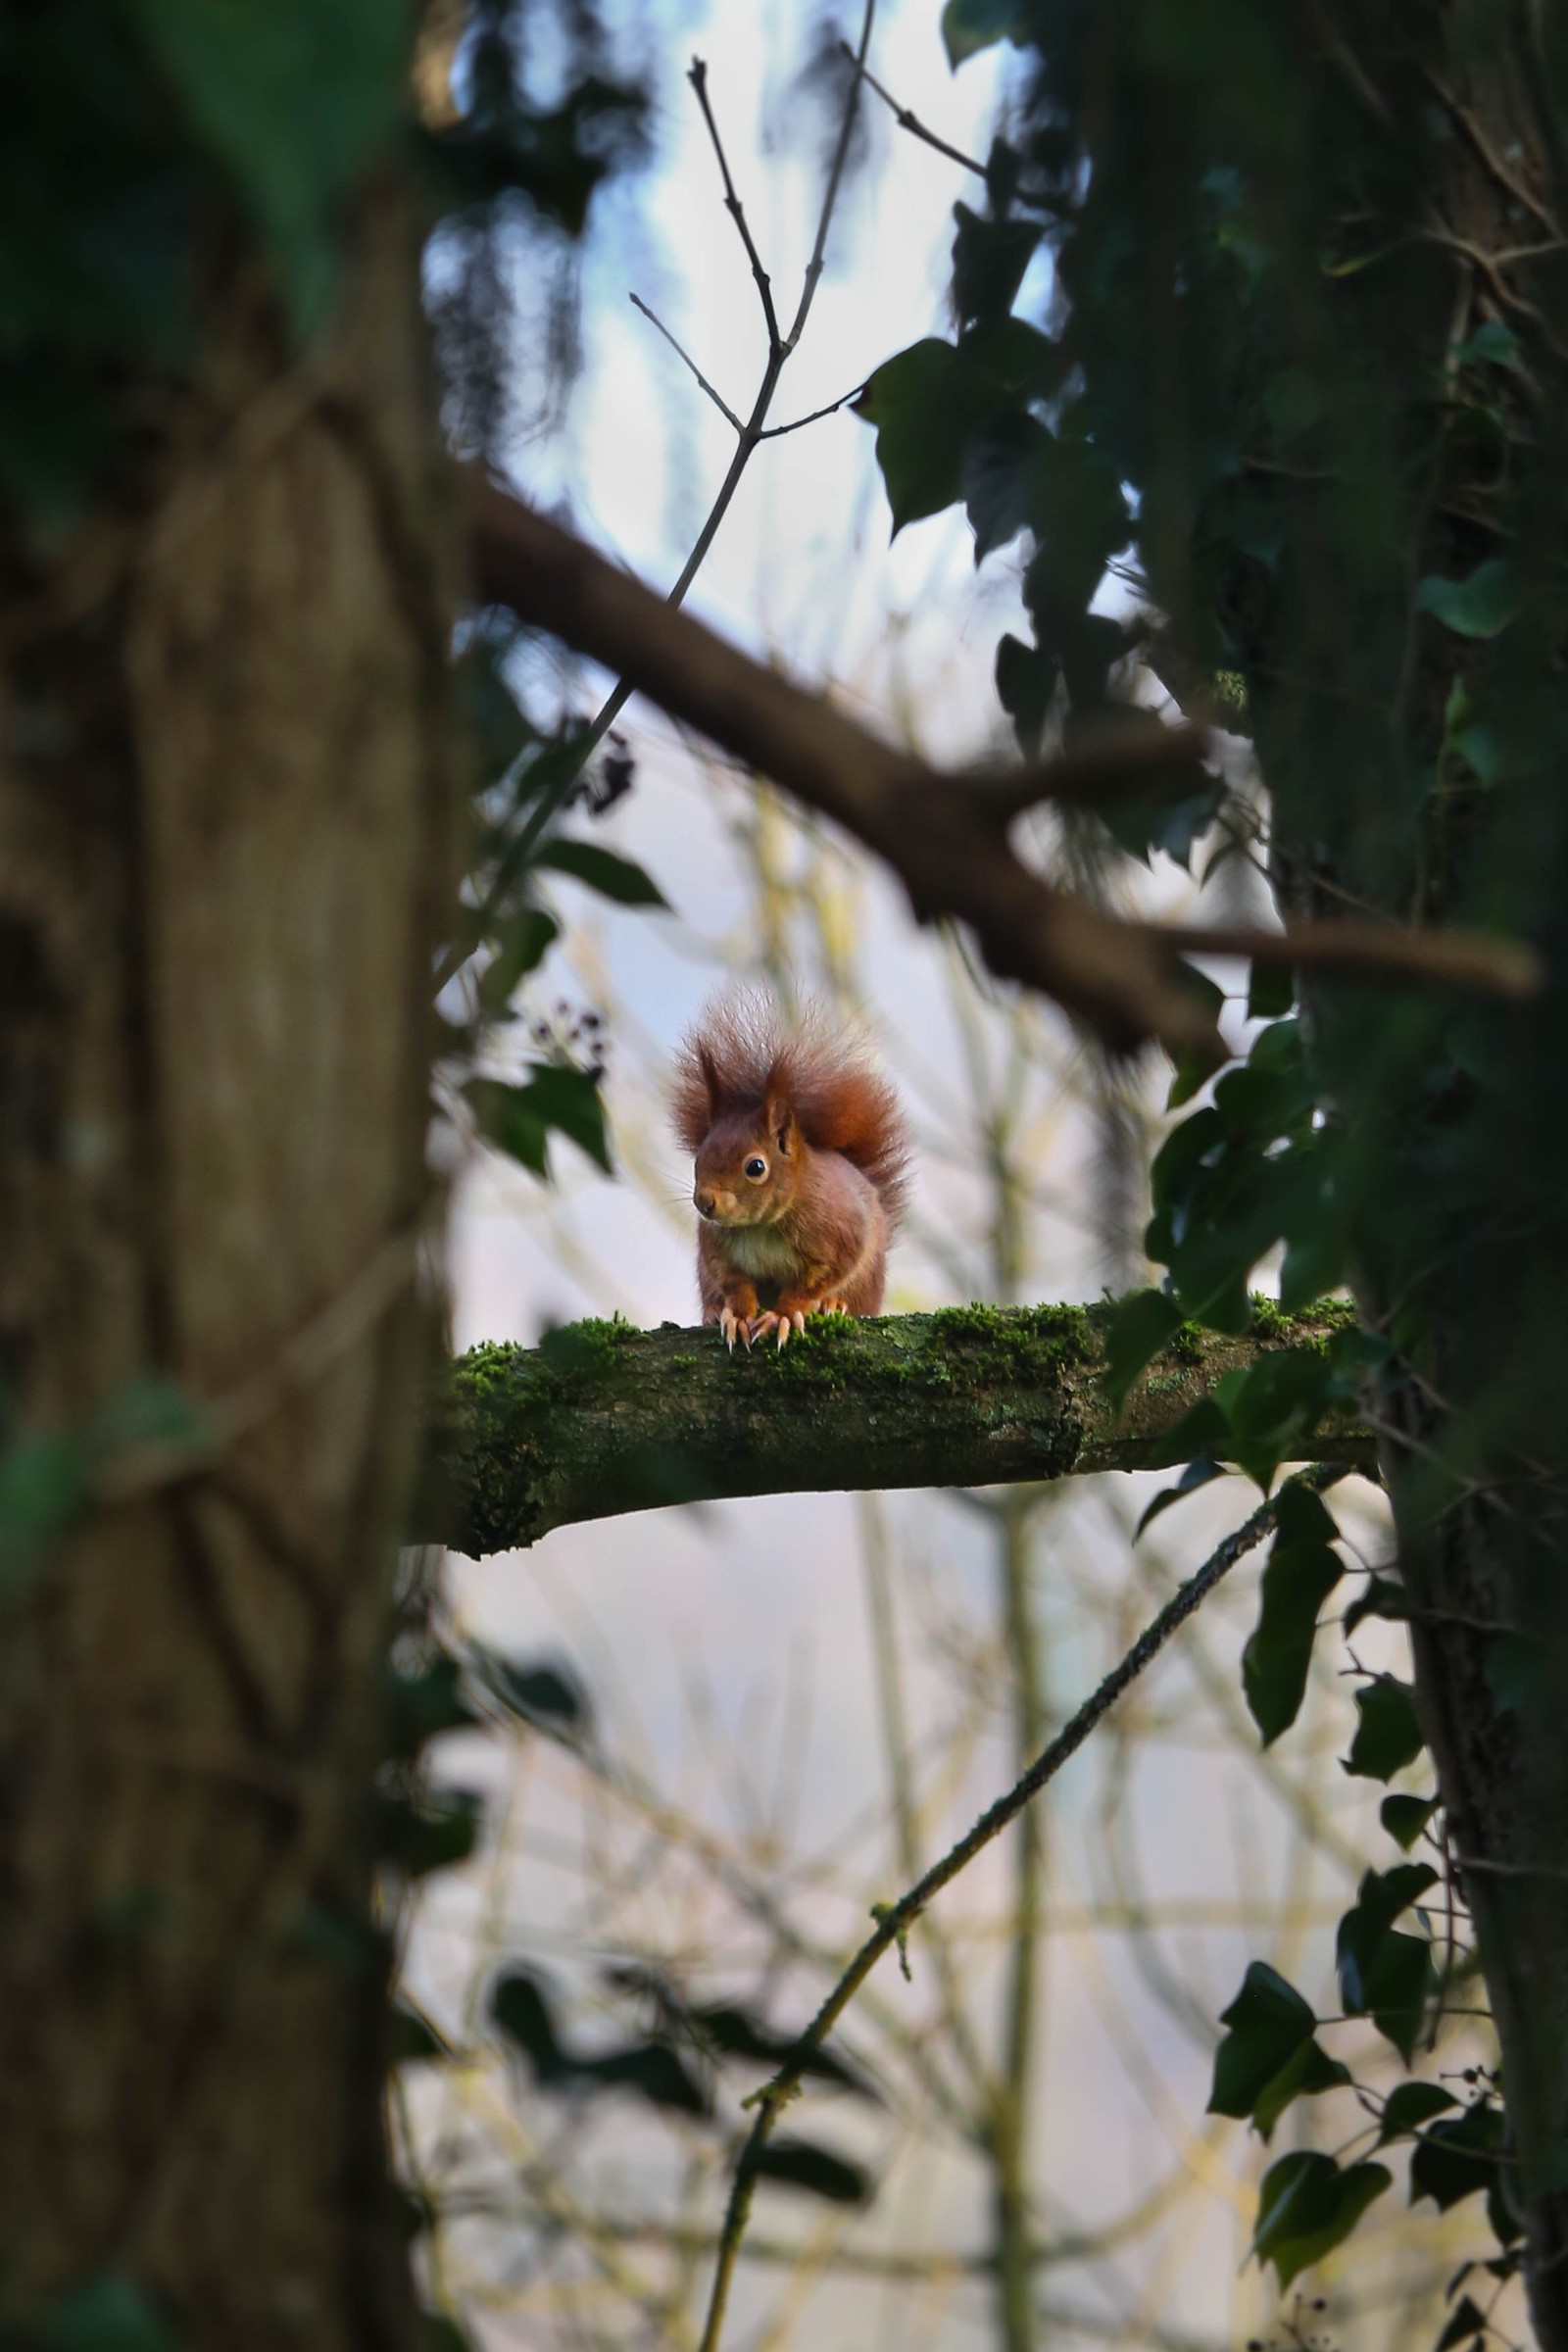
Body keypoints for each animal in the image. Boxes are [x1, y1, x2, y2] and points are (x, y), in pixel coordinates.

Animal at [672, 992, 906, 1364]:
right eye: (700, 1156)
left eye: (756, 1167)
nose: (704, 1202)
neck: (761, 1226)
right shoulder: (717, 1249)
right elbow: (734, 1282)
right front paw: (737, 1315)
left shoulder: (839, 1236)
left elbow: (815, 1281)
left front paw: (783, 1315)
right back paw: (713, 1310)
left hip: (867, 1281)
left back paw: (835, 1304)